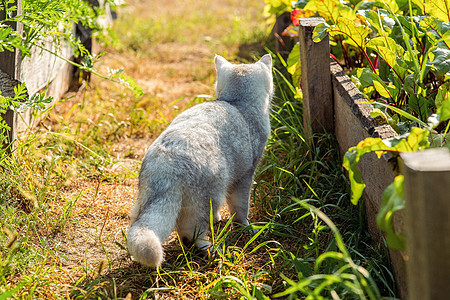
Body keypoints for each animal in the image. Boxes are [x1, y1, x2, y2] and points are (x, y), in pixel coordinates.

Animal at [127, 54, 274, 268]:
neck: (237, 103)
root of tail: (165, 165)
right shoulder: (245, 176)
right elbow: (241, 209)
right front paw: (246, 229)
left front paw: (219, 219)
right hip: (209, 196)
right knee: (191, 234)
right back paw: (211, 250)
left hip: (144, 205)